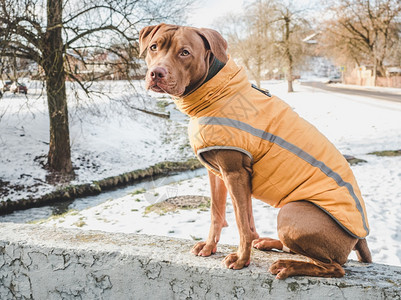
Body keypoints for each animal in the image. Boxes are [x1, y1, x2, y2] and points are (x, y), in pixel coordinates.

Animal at [139, 22, 370, 278]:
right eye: (154, 47)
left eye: (185, 52)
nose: (156, 73)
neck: (215, 91)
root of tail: (360, 238)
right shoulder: (217, 173)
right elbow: (219, 213)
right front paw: (210, 246)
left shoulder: (235, 173)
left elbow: (242, 222)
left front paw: (241, 259)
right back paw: (269, 243)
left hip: (291, 211)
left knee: (334, 267)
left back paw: (287, 266)